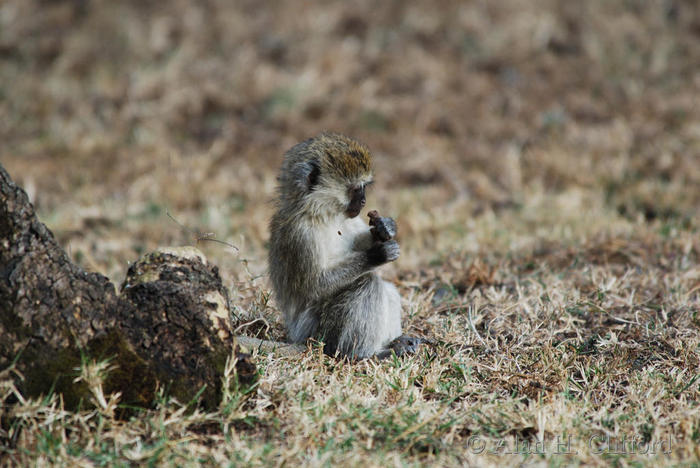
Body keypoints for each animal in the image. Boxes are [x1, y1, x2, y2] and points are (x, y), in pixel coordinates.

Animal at [268, 132, 425, 359]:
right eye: (356, 189)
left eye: (364, 188)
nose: (364, 201)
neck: (321, 214)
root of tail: (297, 337)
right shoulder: (301, 234)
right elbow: (316, 286)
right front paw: (376, 255)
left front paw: (385, 228)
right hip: (317, 333)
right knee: (368, 283)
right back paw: (364, 354)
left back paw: (397, 342)